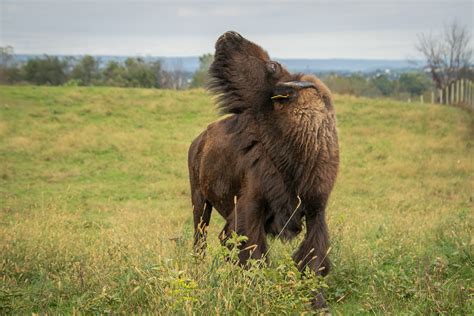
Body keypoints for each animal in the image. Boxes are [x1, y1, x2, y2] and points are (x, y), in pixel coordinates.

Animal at [187, 31, 338, 306]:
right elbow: (254, 252)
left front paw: (318, 302)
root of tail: (198, 142)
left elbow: (314, 255)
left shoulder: (315, 209)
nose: (230, 35)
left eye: (272, 65)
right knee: (200, 239)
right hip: (200, 202)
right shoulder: (251, 208)